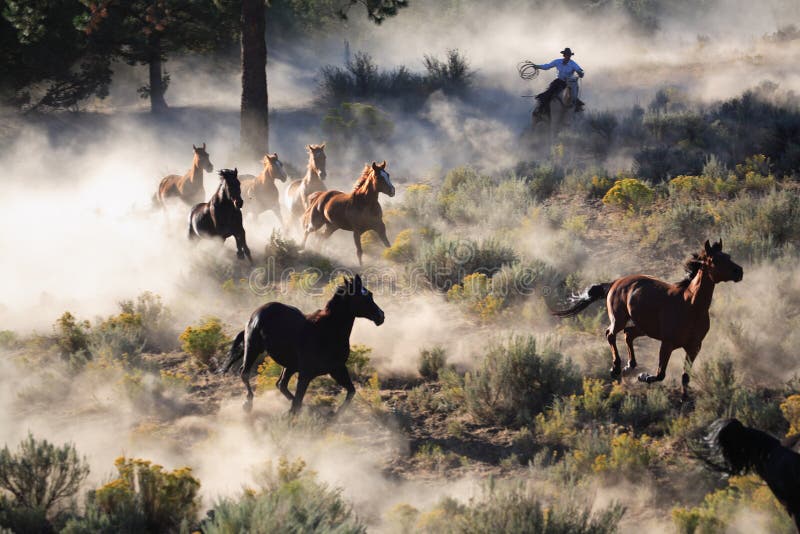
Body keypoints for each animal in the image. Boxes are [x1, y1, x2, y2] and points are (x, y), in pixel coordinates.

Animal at [217, 276, 382, 418]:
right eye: (363, 297)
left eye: (370, 294)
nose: (381, 316)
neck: (327, 331)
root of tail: (255, 314)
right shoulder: (306, 373)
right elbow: (297, 401)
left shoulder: (337, 368)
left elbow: (351, 391)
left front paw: (335, 415)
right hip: (253, 348)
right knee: (244, 373)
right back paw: (248, 404)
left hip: (289, 365)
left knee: (281, 384)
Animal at [552, 242, 744, 398]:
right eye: (715, 260)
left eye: (728, 256)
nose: (739, 272)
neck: (691, 306)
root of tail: (616, 282)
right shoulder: (667, 343)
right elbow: (660, 374)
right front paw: (643, 377)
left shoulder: (694, 347)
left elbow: (685, 376)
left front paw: (685, 398)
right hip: (620, 318)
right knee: (610, 334)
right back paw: (616, 368)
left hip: (643, 326)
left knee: (628, 334)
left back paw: (629, 366)